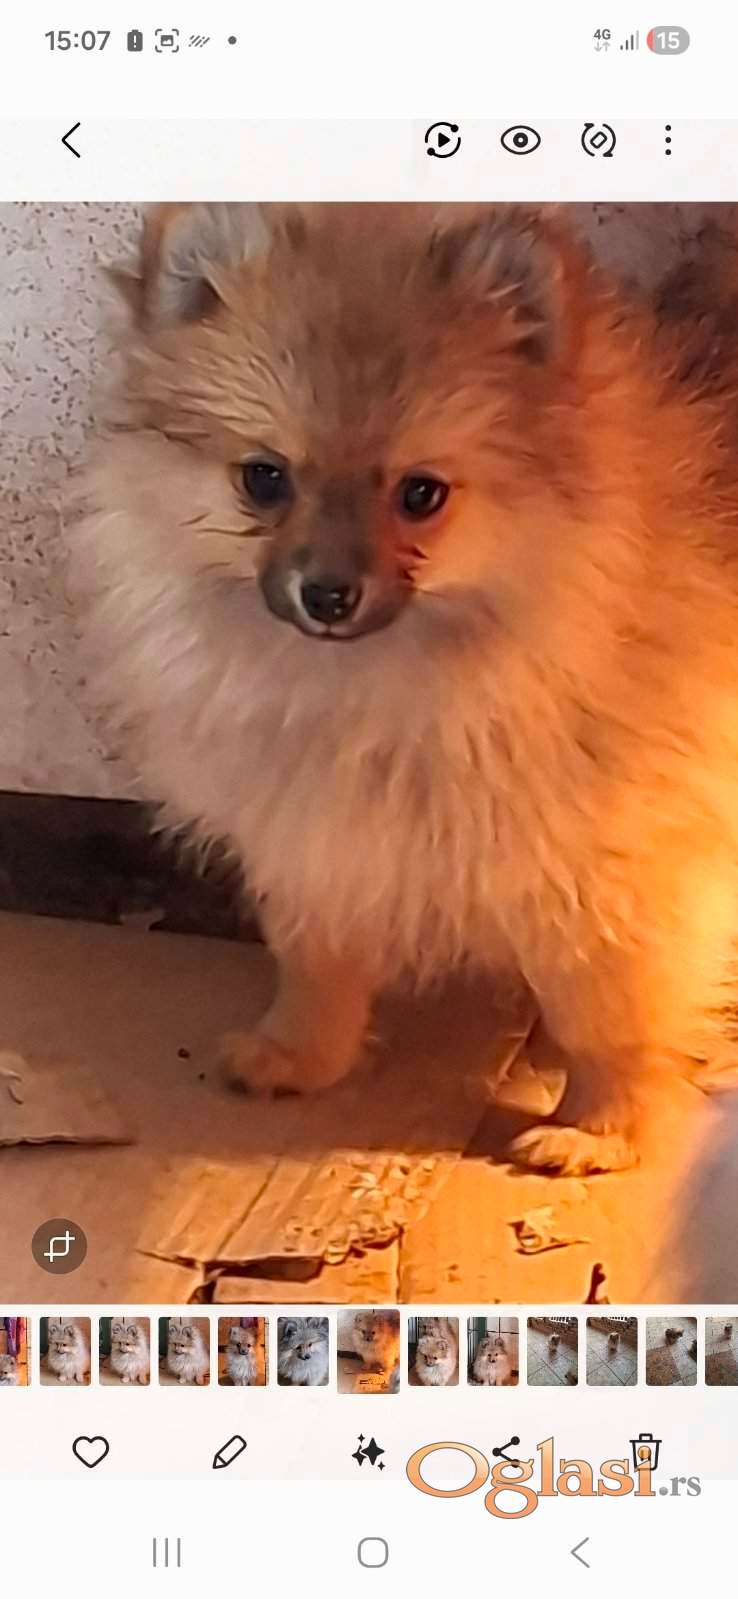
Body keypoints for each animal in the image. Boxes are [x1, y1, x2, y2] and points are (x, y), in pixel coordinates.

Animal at [74, 201, 738, 1176]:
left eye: (421, 494)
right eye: (264, 478)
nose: (327, 593)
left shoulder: (612, 863)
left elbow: (604, 1008)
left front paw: (598, 1127)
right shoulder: (318, 836)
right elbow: (317, 960)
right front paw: (300, 1052)